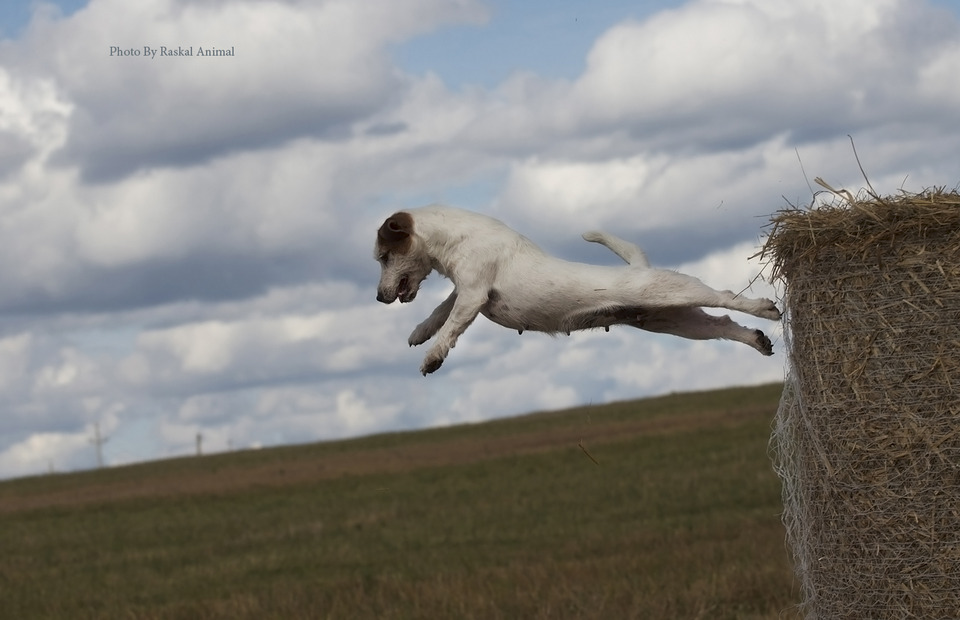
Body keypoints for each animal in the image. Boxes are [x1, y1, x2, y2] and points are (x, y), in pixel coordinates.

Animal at [376, 206, 780, 376]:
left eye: (383, 256)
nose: (379, 297)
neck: (454, 237)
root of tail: (639, 269)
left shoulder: (473, 294)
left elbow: (451, 327)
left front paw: (432, 357)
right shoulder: (465, 292)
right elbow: (440, 312)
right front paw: (420, 331)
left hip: (673, 292)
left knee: (726, 296)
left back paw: (765, 308)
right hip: (671, 319)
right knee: (721, 324)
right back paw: (758, 340)